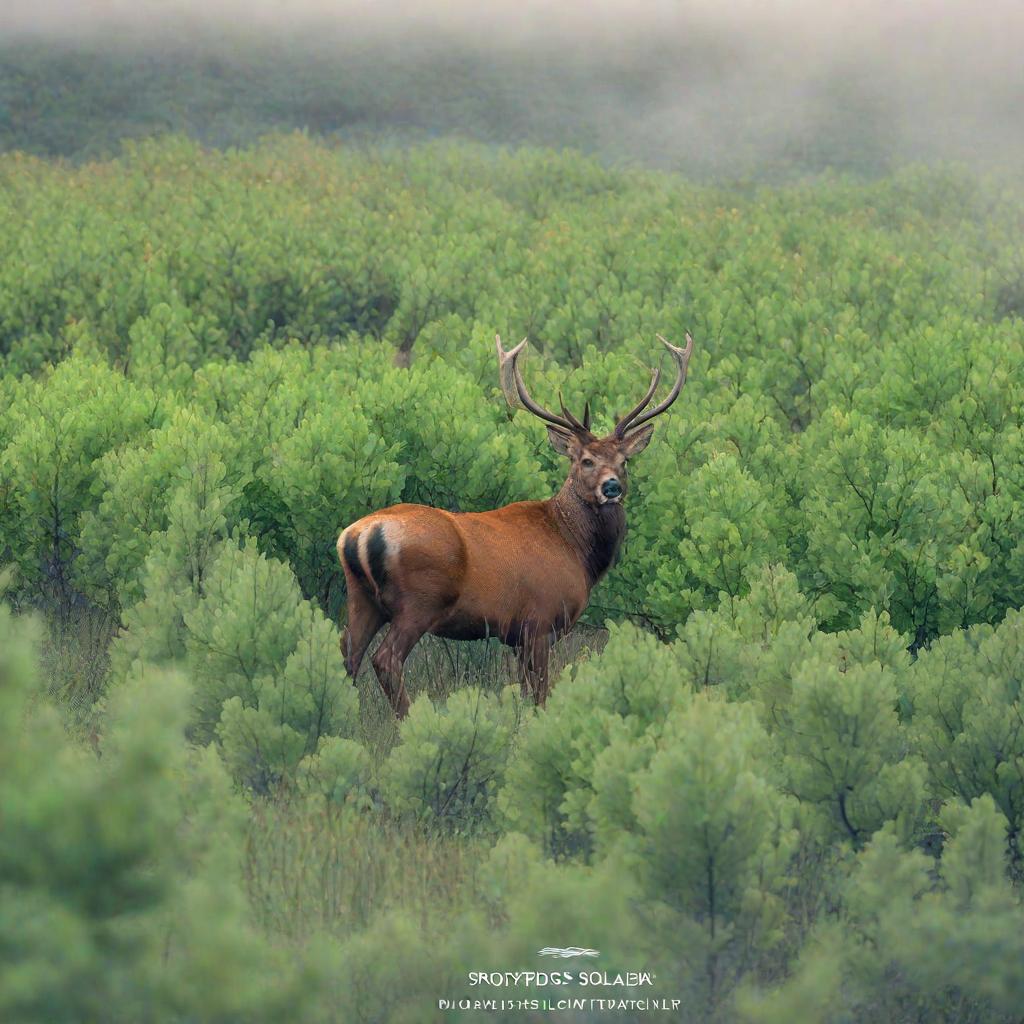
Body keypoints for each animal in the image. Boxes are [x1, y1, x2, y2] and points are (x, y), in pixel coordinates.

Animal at [339, 331, 692, 716]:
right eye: (585, 460)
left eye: (624, 460)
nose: (611, 487)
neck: (574, 547)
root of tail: (358, 535)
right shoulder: (539, 621)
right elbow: (540, 694)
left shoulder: (517, 635)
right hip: (419, 602)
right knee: (385, 659)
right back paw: (407, 720)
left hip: (361, 599)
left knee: (346, 658)